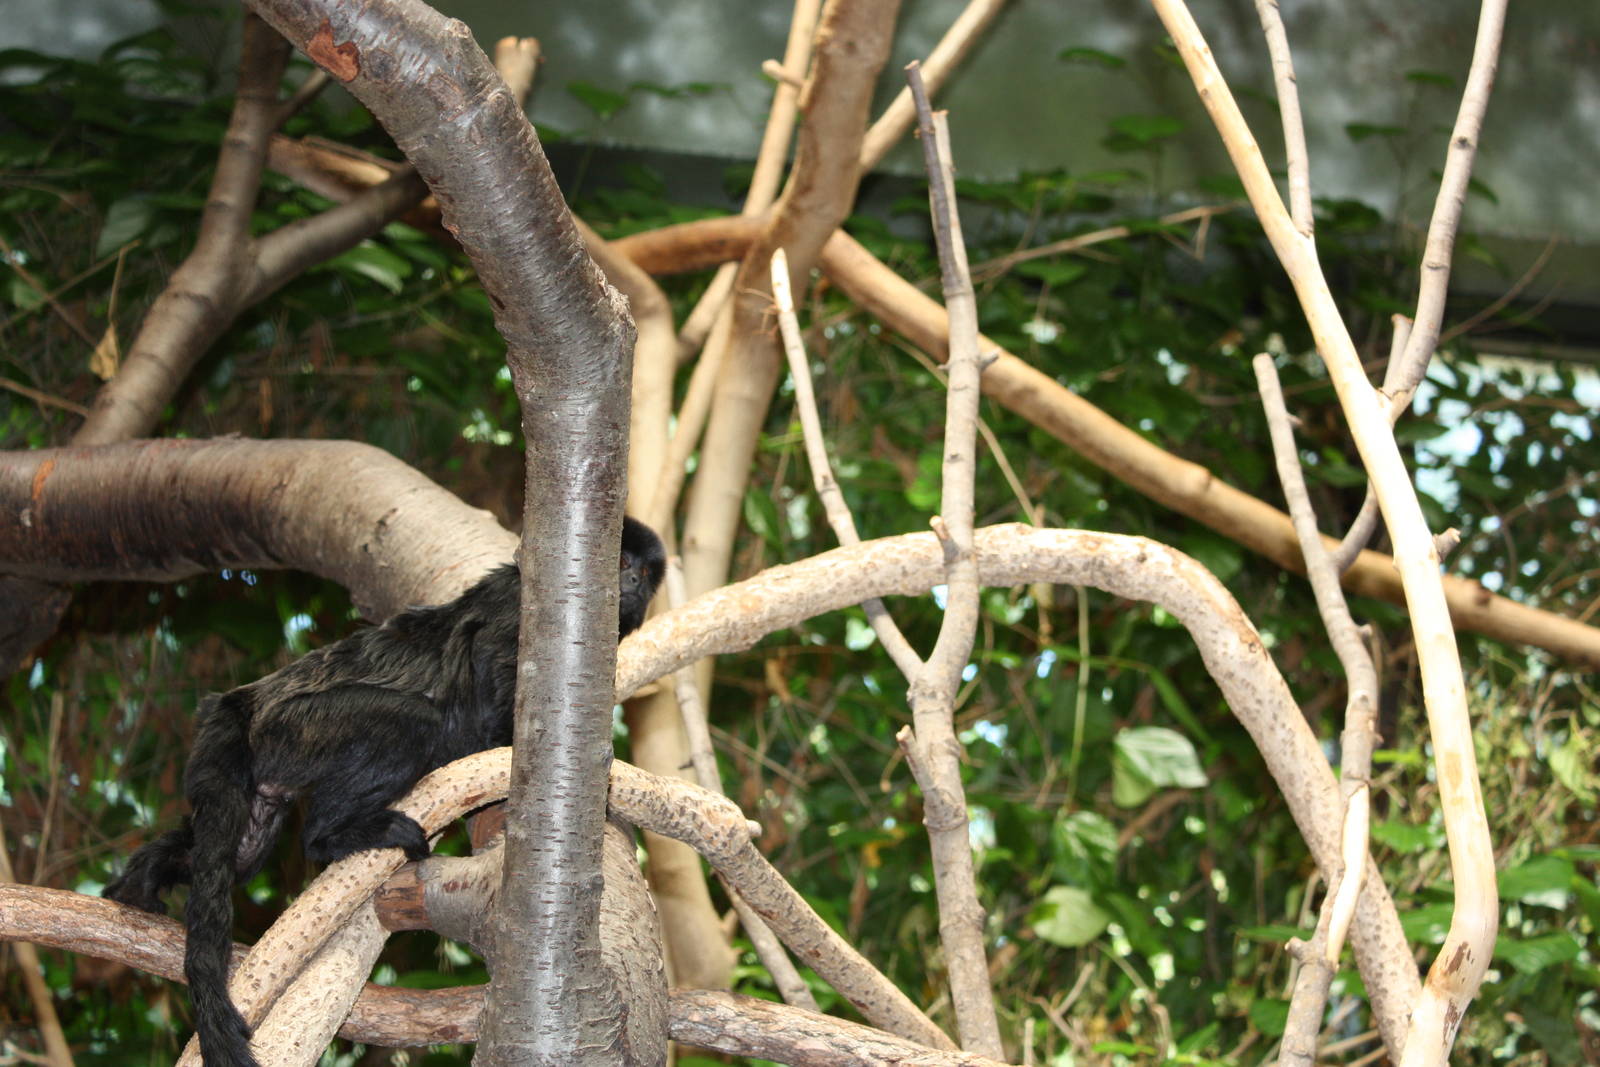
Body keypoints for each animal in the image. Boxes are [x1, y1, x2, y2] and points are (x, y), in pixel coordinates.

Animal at [103, 517, 666, 1067]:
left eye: (644, 572)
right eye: (620, 562)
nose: (634, 583)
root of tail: (246, 699)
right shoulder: (515, 609)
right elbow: (488, 681)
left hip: (270, 763)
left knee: (238, 854)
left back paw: (141, 880)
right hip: (302, 725)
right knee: (410, 723)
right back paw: (334, 836)